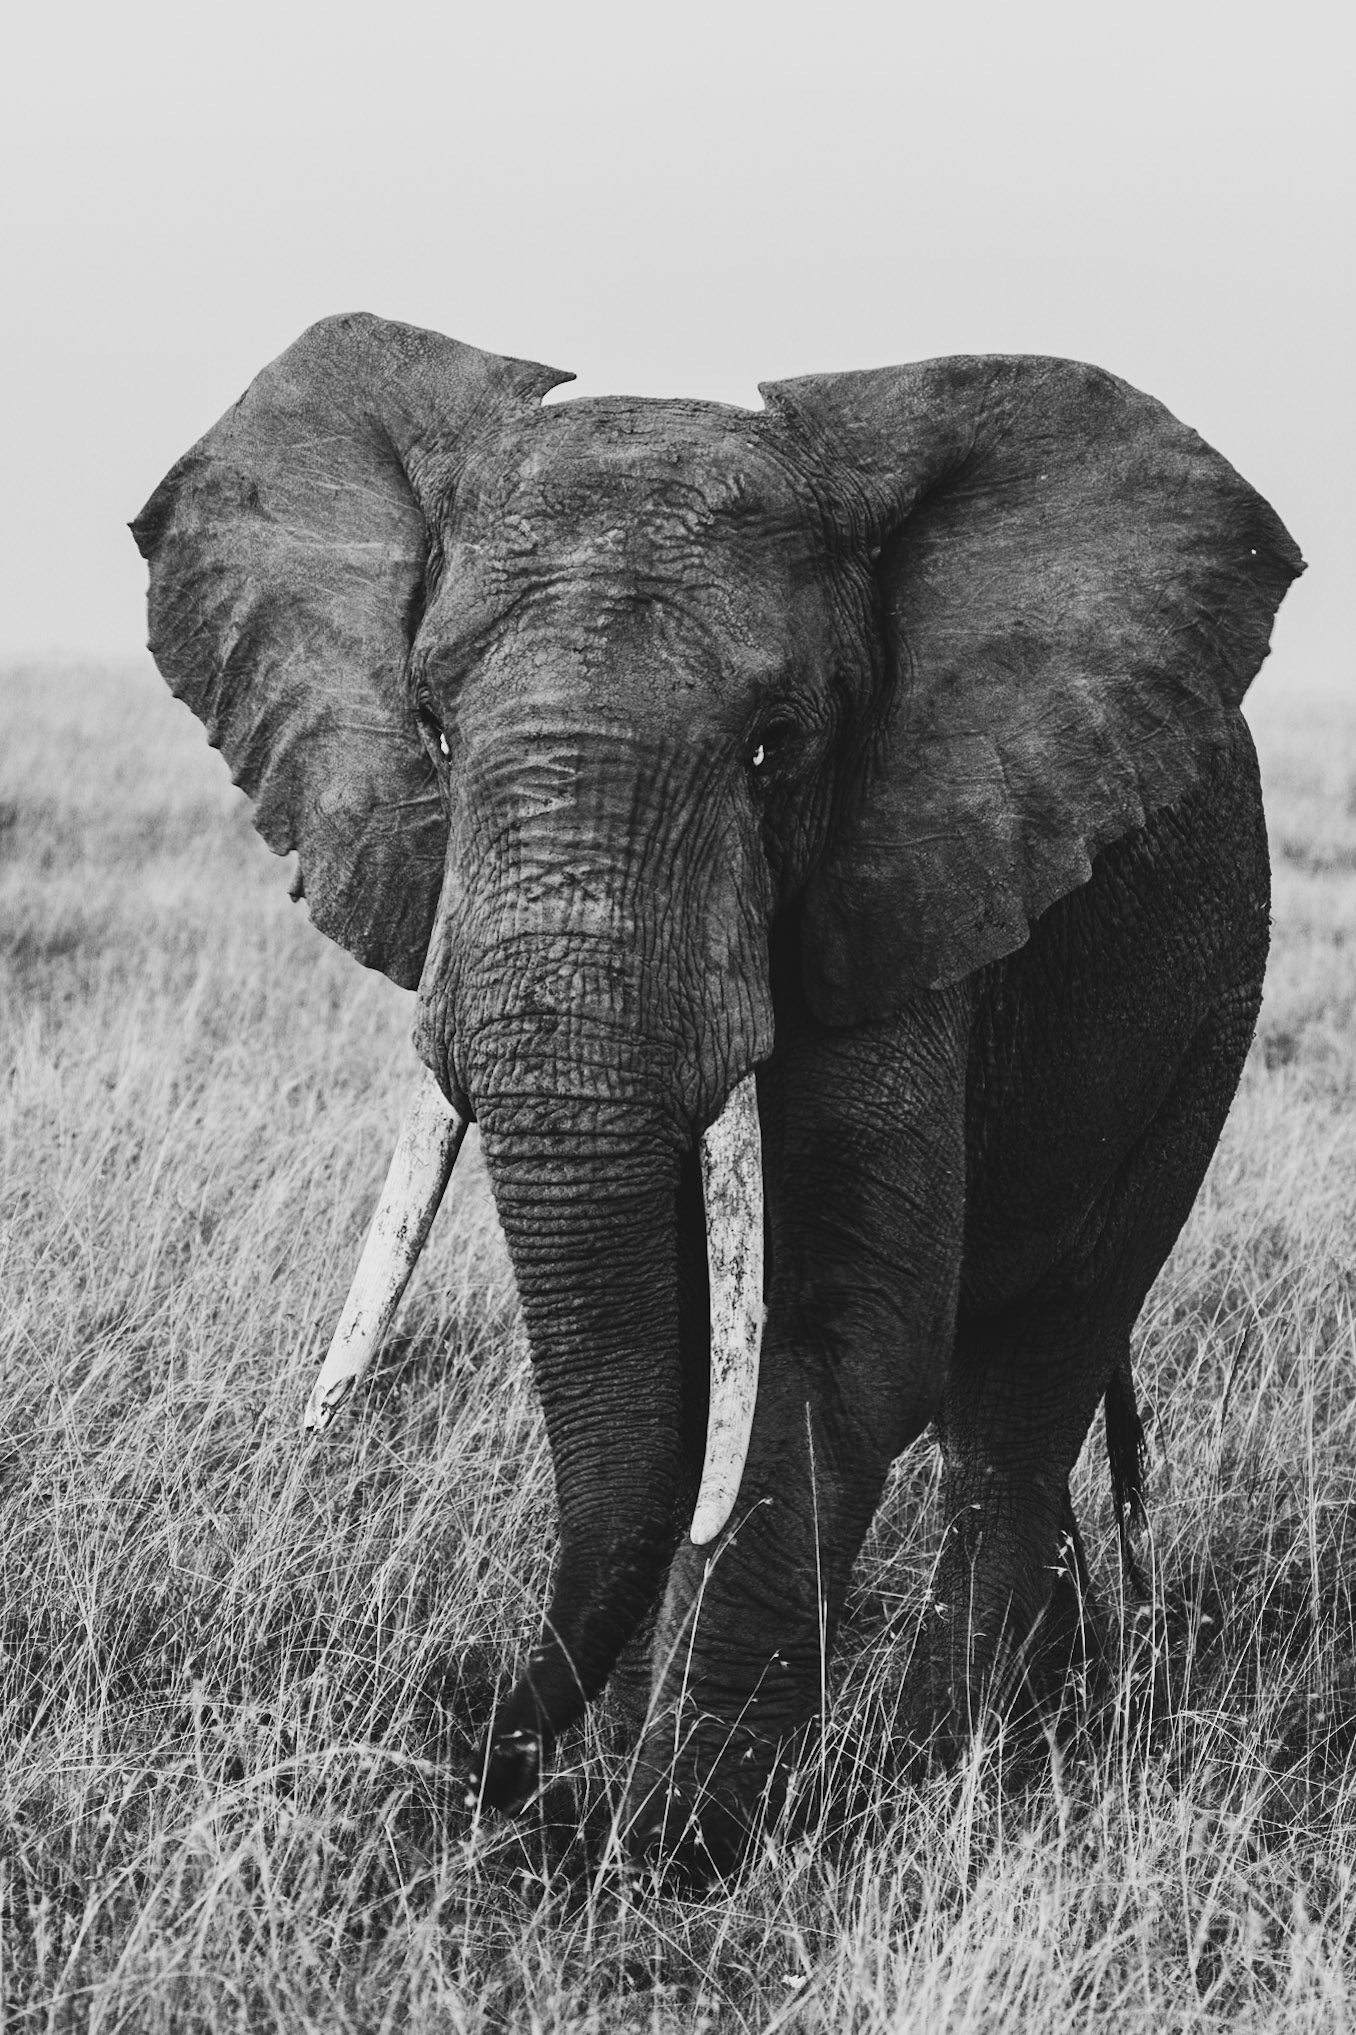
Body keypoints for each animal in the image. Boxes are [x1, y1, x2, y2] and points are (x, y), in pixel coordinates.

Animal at [132, 313, 1302, 1877]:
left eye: (772, 745)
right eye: (429, 724)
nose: (470, 1724)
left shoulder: (900, 879)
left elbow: (830, 1346)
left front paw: (666, 1844)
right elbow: (689, 1359)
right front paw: (615, 1799)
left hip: (1205, 1010)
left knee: (1028, 1377)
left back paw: (953, 1766)